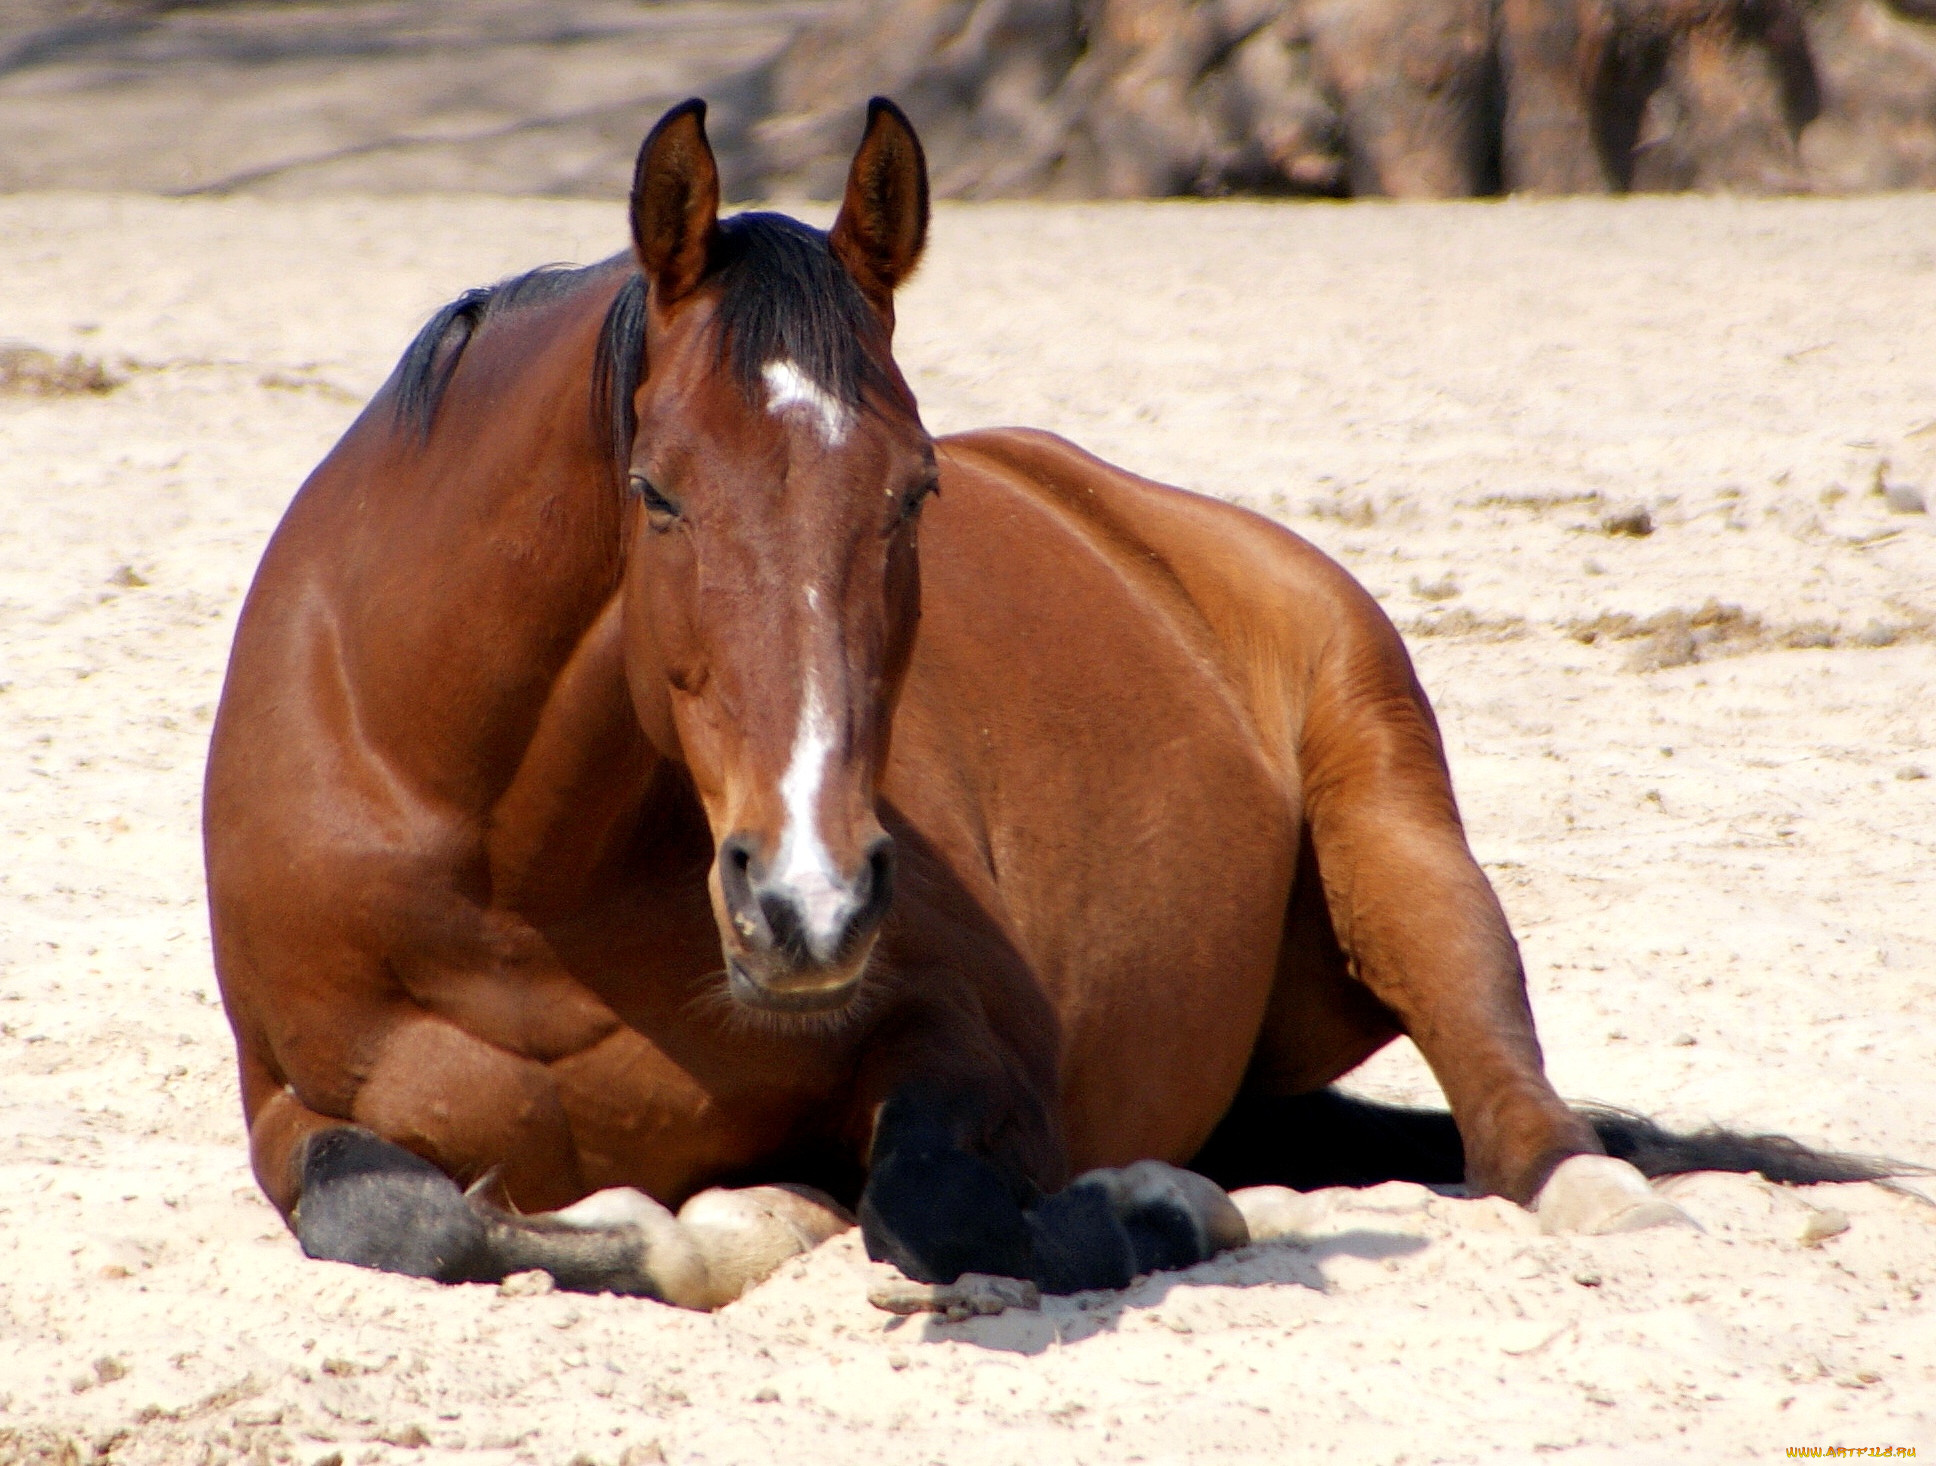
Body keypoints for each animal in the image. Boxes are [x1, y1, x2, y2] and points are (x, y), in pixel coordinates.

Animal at [200, 91, 1889, 1301]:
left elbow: (939, 1207)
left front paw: (1153, 1207)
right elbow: (404, 1217)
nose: (807, 906)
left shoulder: (977, 1029)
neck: (510, 869)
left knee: (1513, 1102)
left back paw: (1580, 1188)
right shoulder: (290, 1106)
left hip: (1400, 836)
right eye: (658, 492)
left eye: (915, 491)